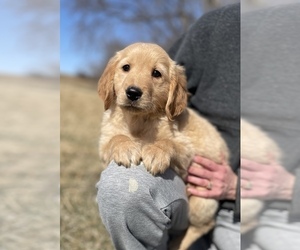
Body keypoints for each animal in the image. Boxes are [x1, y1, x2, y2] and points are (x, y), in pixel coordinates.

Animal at [97, 42, 229, 248]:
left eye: (156, 73)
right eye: (126, 68)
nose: (133, 92)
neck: (139, 121)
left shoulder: (187, 152)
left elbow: (168, 142)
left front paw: (155, 153)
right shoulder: (104, 144)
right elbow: (116, 138)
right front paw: (126, 148)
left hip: (202, 200)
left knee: (203, 225)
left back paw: (177, 245)